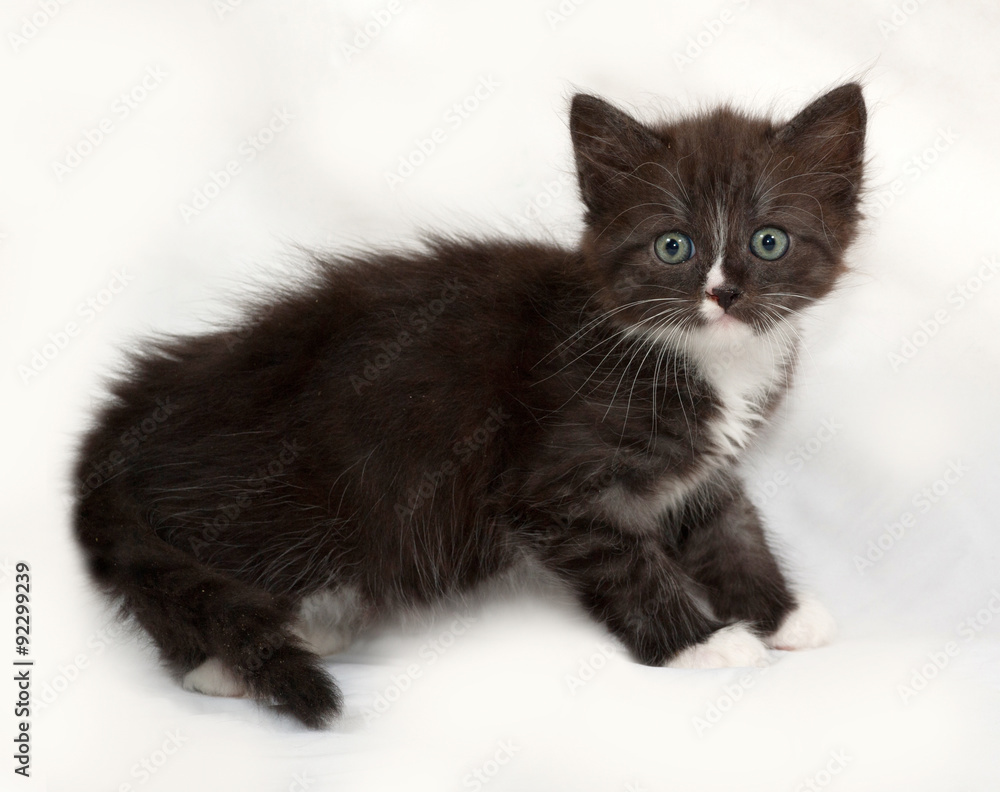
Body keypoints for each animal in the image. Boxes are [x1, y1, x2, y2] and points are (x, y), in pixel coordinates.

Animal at [72, 83, 868, 728]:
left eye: (769, 241)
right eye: (674, 246)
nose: (724, 293)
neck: (702, 360)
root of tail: (144, 401)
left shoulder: (702, 467)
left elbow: (729, 530)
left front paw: (783, 614)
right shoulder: (551, 486)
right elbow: (631, 566)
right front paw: (701, 644)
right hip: (279, 498)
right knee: (190, 585)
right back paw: (229, 660)